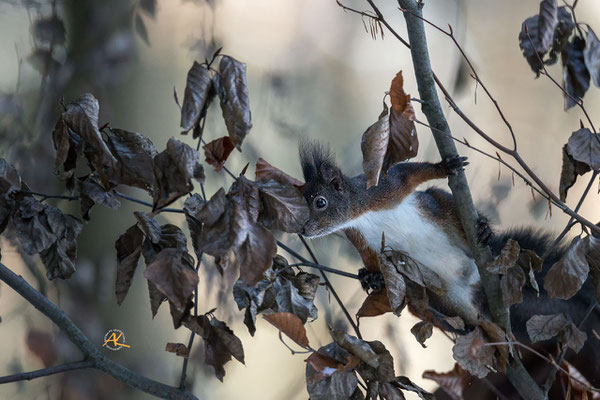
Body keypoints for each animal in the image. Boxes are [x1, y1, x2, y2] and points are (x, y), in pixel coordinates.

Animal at [300, 141, 600, 394]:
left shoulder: (381, 189)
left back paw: (484, 232)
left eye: (320, 202)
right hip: (443, 303)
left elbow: (408, 174)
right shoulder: (361, 240)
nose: (303, 229)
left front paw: (445, 166)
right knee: (464, 319)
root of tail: (476, 281)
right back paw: (491, 335)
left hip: (444, 208)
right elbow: (372, 260)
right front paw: (370, 277)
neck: (361, 216)